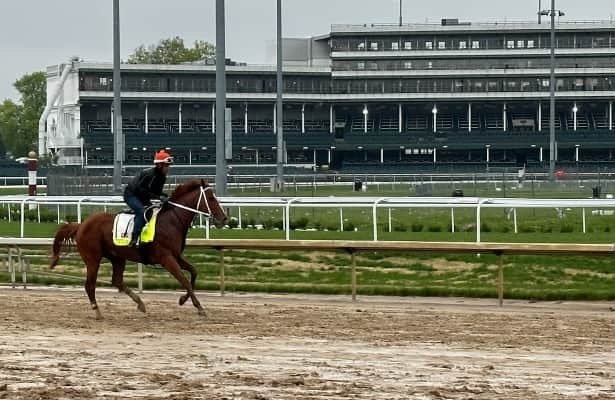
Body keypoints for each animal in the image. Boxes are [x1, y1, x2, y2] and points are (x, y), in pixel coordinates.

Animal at [48, 180, 226, 318]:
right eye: (211, 198)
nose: (224, 218)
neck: (171, 221)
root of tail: (81, 225)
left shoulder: (176, 256)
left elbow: (194, 272)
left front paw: (183, 300)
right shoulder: (166, 258)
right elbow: (184, 280)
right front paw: (200, 308)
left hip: (117, 257)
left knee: (117, 281)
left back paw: (140, 303)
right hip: (93, 259)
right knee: (90, 285)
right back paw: (97, 311)